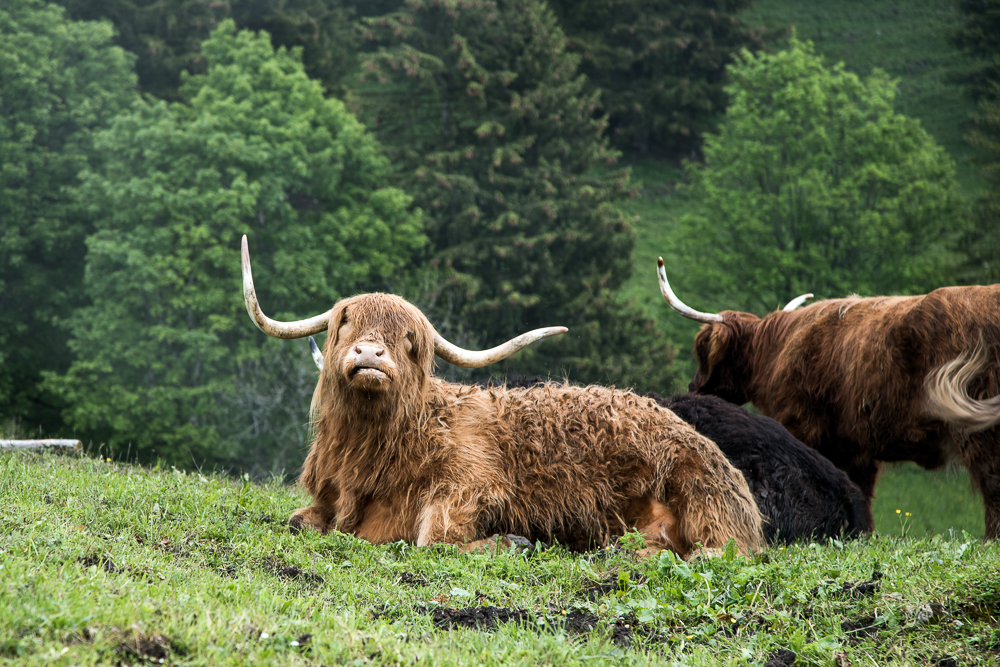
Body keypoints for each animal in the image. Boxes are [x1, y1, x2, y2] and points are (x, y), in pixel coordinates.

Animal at [240, 236, 765, 559]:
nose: (370, 353)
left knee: (717, 552)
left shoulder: (467, 489)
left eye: (409, 339)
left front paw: (515, 541)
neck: (371, 452)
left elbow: (432, 540)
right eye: (345, 321)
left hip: (703, 497)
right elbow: (297, 521)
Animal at [656, 256, 1000, 538]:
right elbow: (860, 493)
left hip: (980, 429)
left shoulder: (803, 427)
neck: (778, 350)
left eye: (701, 350)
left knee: (991, 480)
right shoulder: (857, 448)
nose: (693, 386)